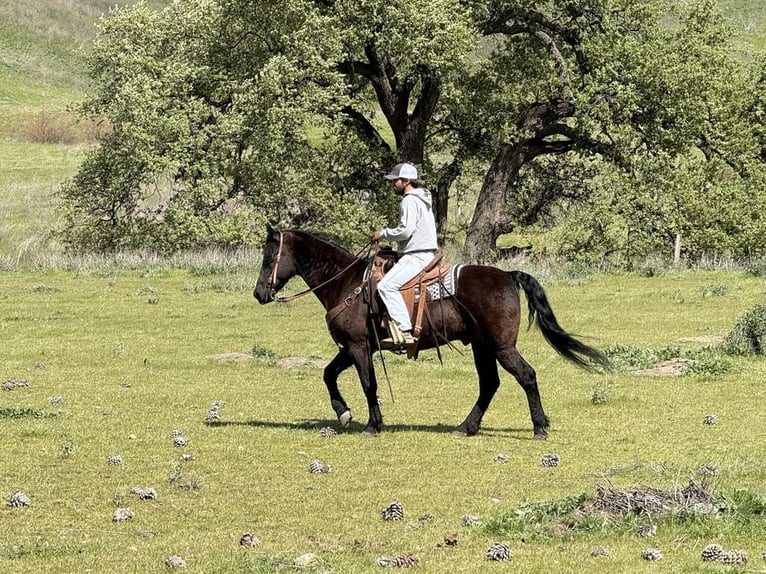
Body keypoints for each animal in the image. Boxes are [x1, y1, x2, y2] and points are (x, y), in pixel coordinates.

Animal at [253, 225, 609, 438]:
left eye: (269, 257)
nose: (259, 294)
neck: (346, 284)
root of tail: (508, 275)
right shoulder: (351, 349)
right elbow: (329, 374)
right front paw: (344, 414)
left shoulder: (357, 347)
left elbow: (368, 384)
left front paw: (371, 424)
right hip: (482, 346)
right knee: (489, 384)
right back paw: (466, 427)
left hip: (502, 347)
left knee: (526, 376)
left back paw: (539, 427)